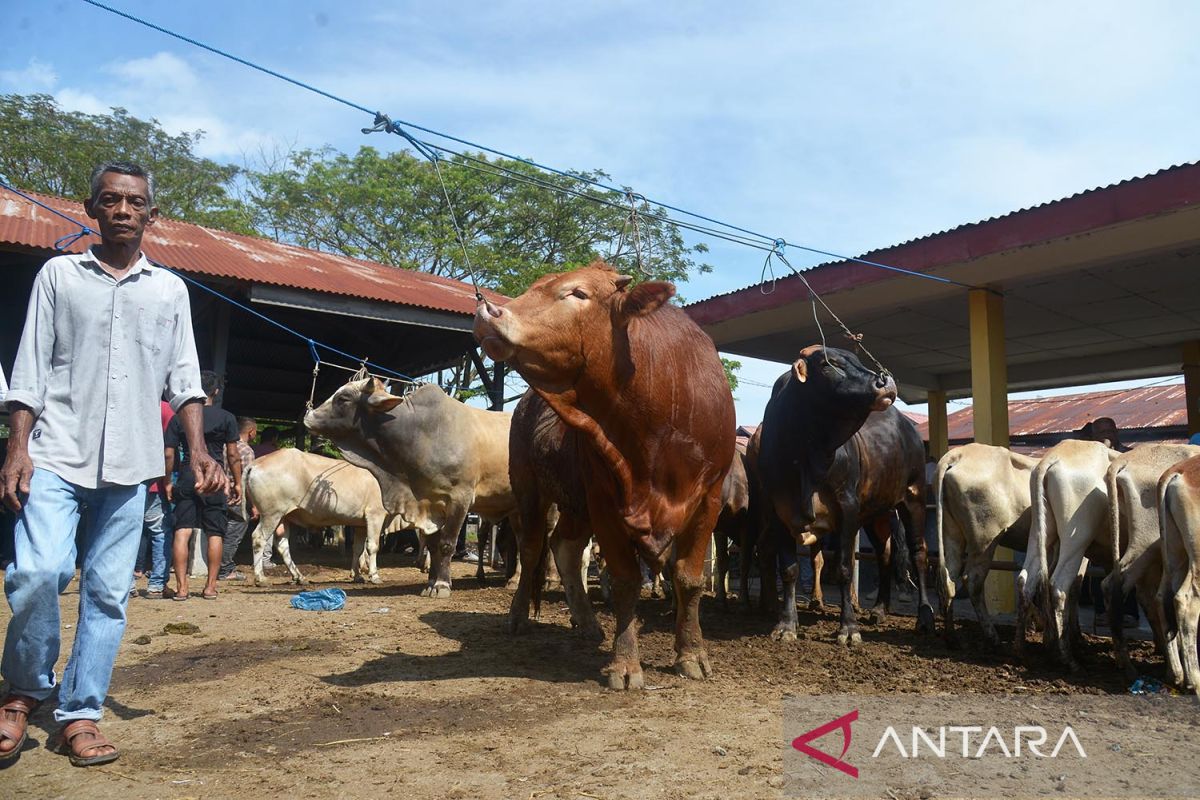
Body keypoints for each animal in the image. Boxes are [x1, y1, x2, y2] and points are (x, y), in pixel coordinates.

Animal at [472, 262, 734, 690]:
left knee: (564, 547)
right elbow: (626, 579)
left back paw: (587, 620)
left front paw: (692, 653)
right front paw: (625, 664)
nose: (488, 311)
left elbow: (689, 579)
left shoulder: (708, 500)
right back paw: (518, 615)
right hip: (531, 491)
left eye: (578, 293)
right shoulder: (605, 498)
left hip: (575, 505)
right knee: (532, 551)